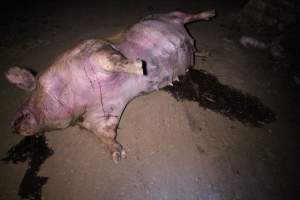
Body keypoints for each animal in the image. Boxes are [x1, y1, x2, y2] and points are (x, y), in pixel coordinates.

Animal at [4, 9, 216, 162]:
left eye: (28, 93)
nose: (11, 126)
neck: (78, 96)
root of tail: (190, 41)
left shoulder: (95, 48)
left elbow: (110, 60)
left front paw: (139, 66)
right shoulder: (103, 111)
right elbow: (104, 130)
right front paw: (118, 156)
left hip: (169, 14)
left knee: (188, 16)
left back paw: (210, 14)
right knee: (194, 45)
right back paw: (205, 52)